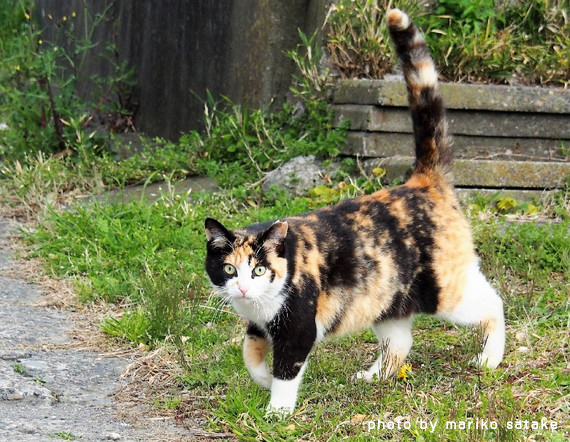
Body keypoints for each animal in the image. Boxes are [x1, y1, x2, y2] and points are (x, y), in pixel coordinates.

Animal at [203, 8, 502, 416]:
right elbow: (250, 354)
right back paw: (375, 376)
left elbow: (286, 370)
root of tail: (423, 181)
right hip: (386, 297)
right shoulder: (259, 325)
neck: (262, 305)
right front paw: (262, 378)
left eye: (260, 269)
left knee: (493, 303)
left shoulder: (298, 327)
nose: (244, 288)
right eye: (229, 269)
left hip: (445, 290)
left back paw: (490, 358)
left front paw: (277, 411)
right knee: (400, 341)